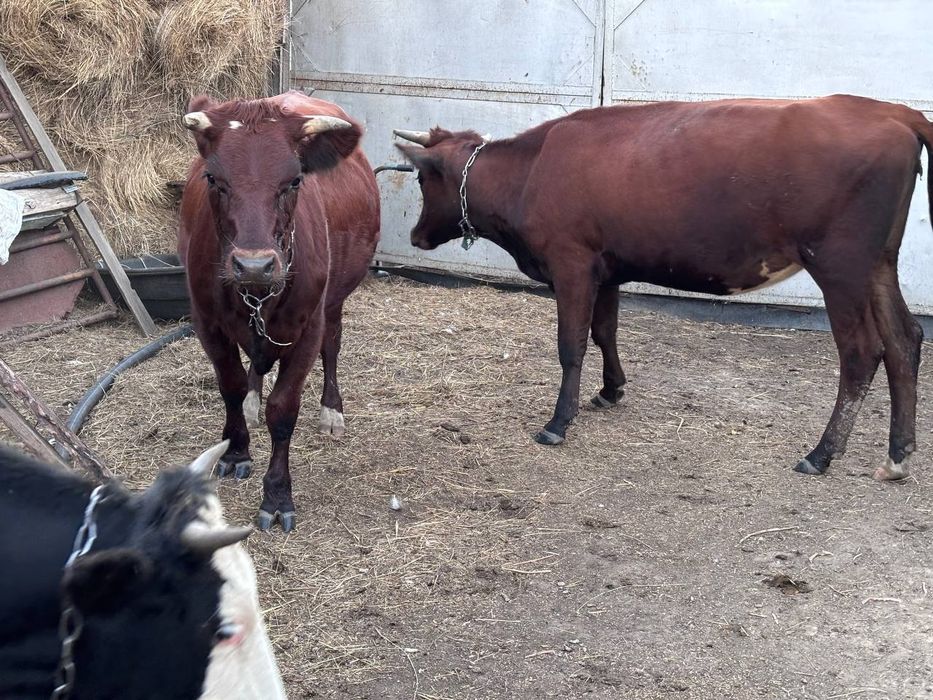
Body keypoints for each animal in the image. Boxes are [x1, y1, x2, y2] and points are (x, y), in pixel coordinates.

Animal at [178, 91, 380, 532]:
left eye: (294, 180)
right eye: (213, 179)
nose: (254, 265)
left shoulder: (307, 327)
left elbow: (284, 410)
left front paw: (276, 495)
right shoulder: (207, 322)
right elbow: (231, 386)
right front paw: (236, 450)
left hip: (334, 303)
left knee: (333, 348)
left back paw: (331, 411)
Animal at [395, 94, 933, 481]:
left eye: (422, 180)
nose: (415, 236)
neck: (531, 171)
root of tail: (892, 111)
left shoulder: (571, 264)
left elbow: (571, 345)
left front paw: (558, 423)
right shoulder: (605, 269)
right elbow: (604, 333)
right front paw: (610, 390)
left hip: (840, 266)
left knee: (862, 352)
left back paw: (821, 454)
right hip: (878, 264)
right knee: (905, 339)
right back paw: (897, 454)